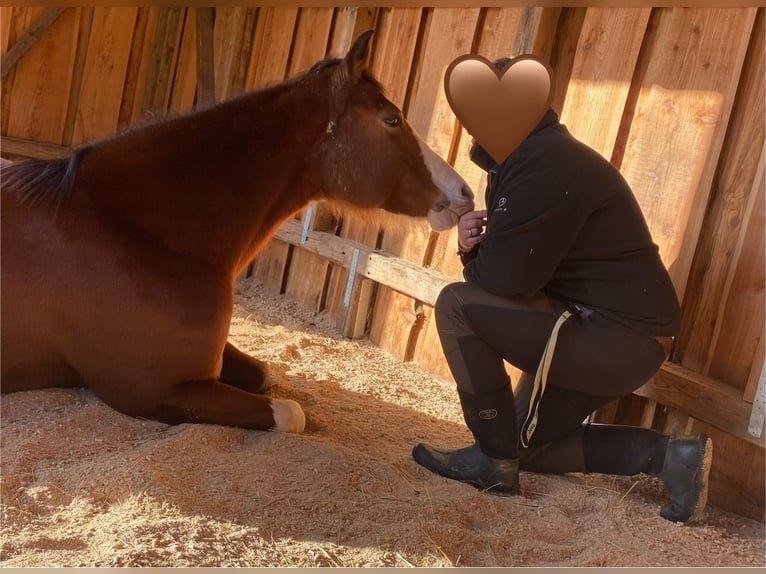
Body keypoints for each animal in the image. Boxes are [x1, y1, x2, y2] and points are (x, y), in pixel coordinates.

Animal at [0, 30, 474, 434]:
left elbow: (263, 373)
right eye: (391, 119)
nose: (464, 193)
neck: (140, 232)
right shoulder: (154, 393)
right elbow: (290, 414)